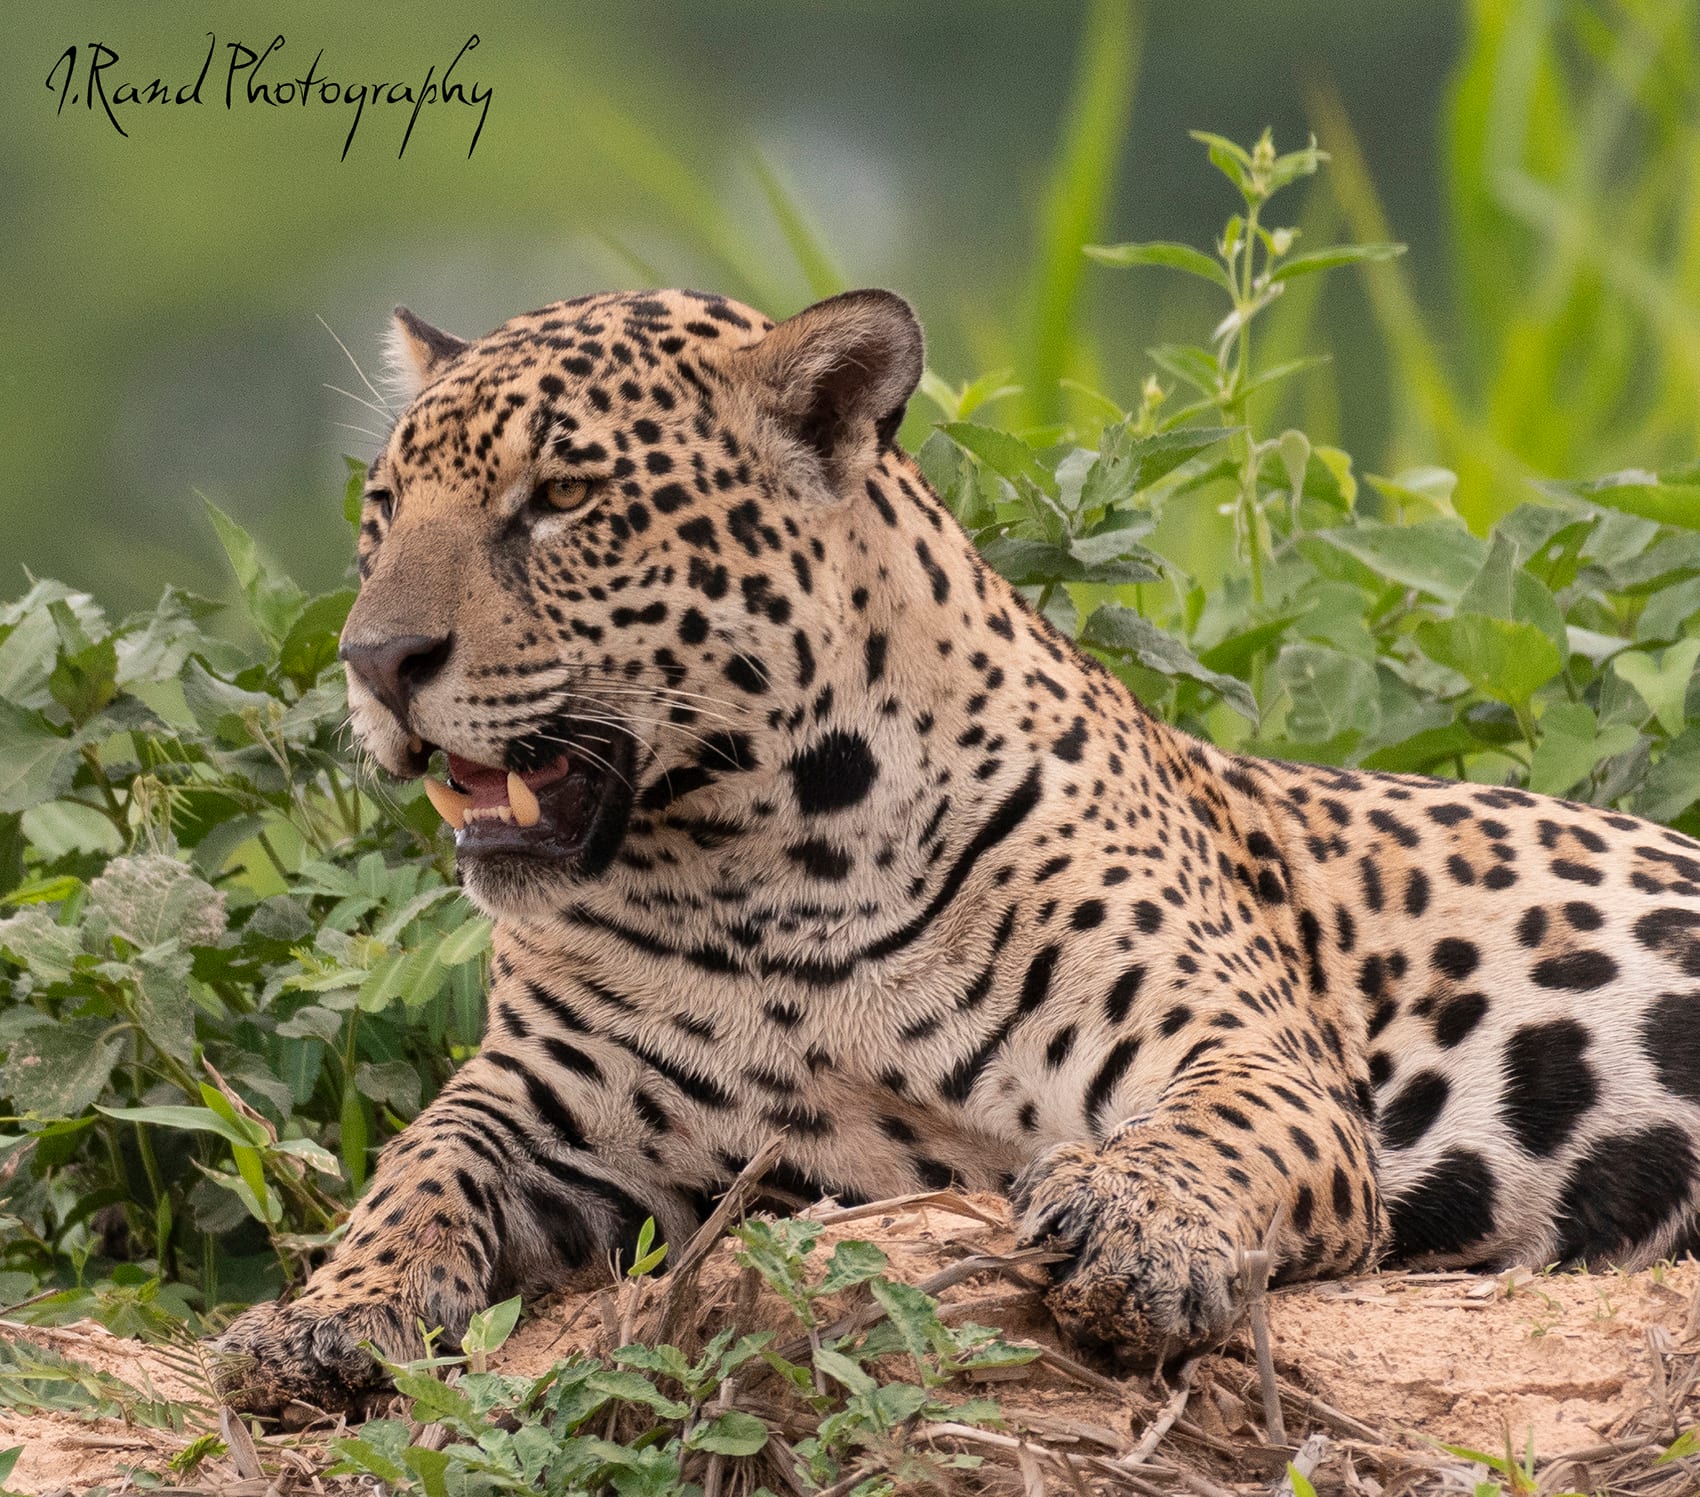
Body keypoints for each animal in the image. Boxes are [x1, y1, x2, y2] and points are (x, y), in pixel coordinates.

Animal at [214, 286, 1700, 1418]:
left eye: (563, 498)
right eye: (382, 511)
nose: (375, 659)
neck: (761, 873)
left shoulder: (1249, 1050)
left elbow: (1214, 1125)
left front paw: (1134, 1225)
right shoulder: (541, 1107)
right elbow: (415, 1170)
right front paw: (318, 1316)